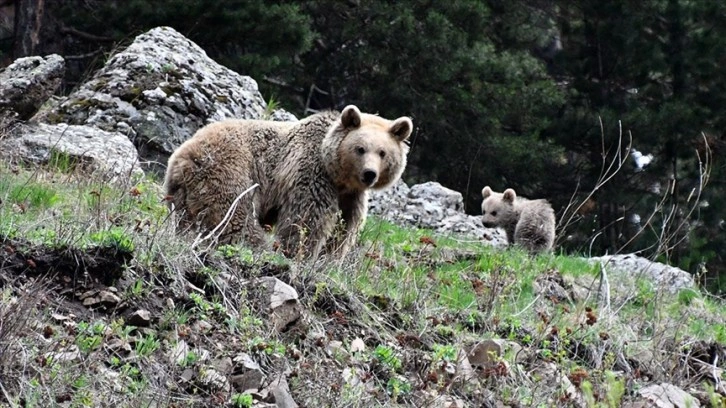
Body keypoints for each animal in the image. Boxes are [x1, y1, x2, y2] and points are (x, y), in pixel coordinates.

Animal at [166, 104, 416, 258]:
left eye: (383, 152)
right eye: (360, 148)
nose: (369, 174)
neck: (338, 176)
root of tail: (183, 155)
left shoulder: (351, 196)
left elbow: (345, 228)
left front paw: (329, 257)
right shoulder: (311, 173)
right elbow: (307, 220)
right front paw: (299, 254)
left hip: (183, 194)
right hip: (230, 169)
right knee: (235, 217)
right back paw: (259, 247)